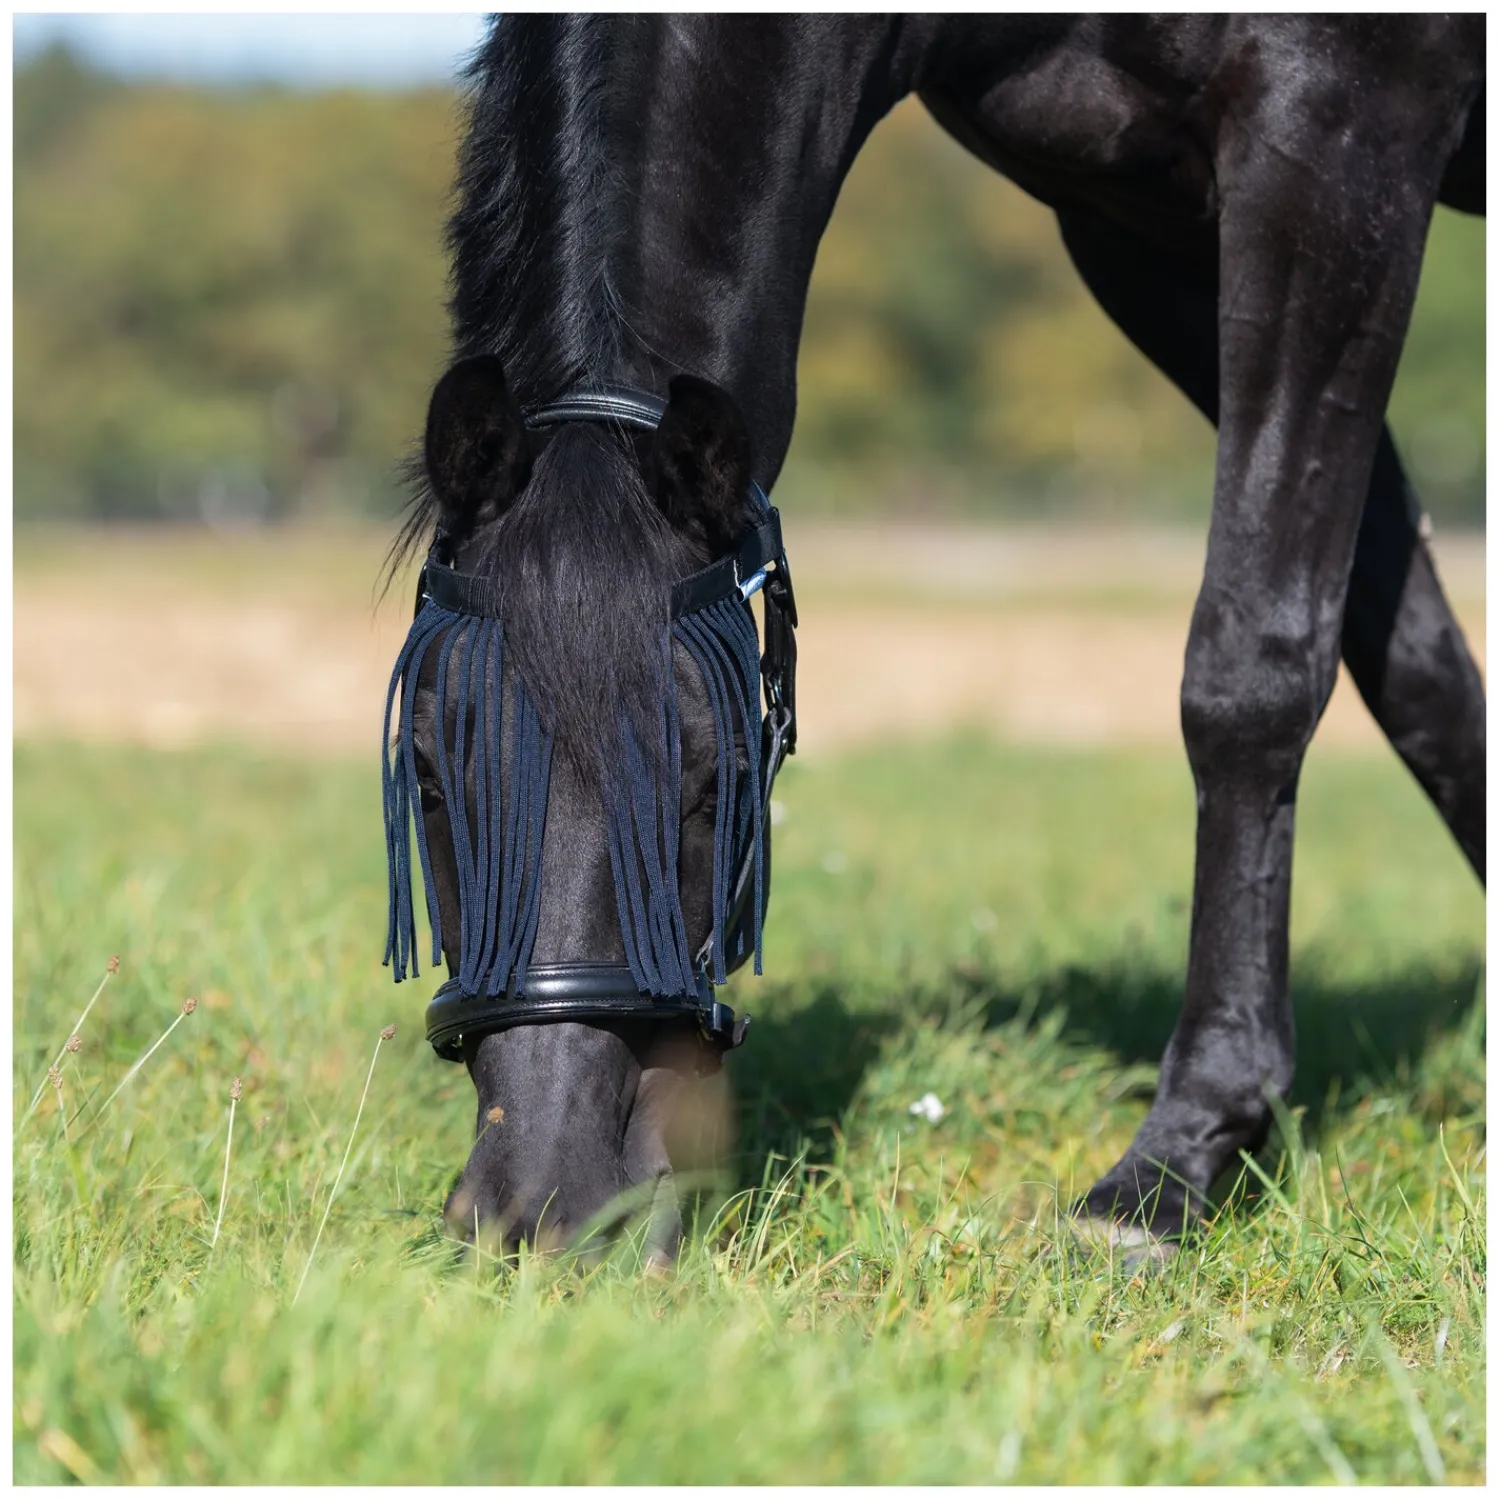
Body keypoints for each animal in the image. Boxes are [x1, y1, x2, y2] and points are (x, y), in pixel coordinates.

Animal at [381, 15, 1486, 1263]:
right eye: (428, 776)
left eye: (717, 781)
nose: (544, 1205)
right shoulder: (1146, 233)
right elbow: (1413, 665)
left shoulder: (1339, 140)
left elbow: (1254, 664)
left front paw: (1176, 1158)